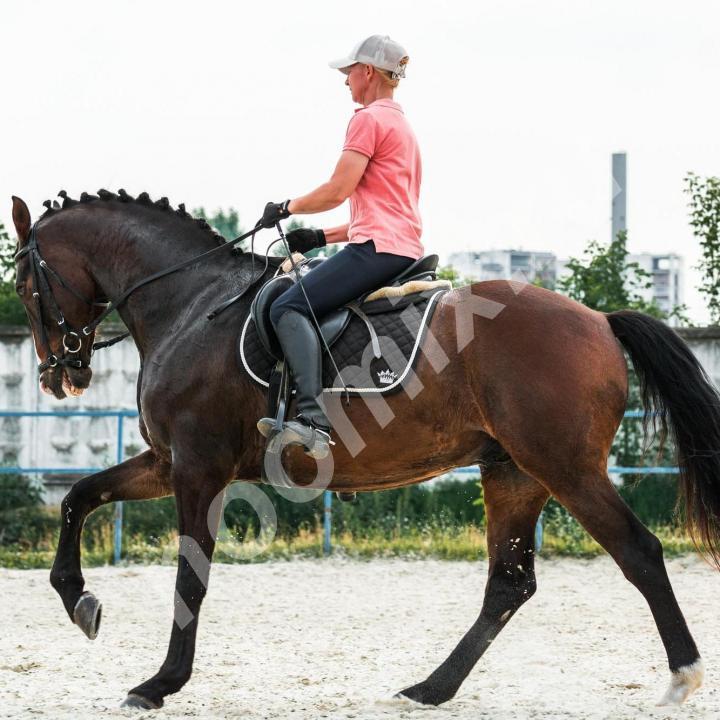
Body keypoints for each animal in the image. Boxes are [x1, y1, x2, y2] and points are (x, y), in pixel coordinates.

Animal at [9, 190, 720, 708]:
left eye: (22, 285)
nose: (59, 376)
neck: (190, 303)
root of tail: (599, 320)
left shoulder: (198, 467)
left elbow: (190, 575)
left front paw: (161, 684)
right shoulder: (167, 463)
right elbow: (78, 497)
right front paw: (80, 601)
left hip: (565, 468)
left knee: (639, 553)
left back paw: (682, 676)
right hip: (514, 473)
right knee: (508, 584)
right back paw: (431, 689)